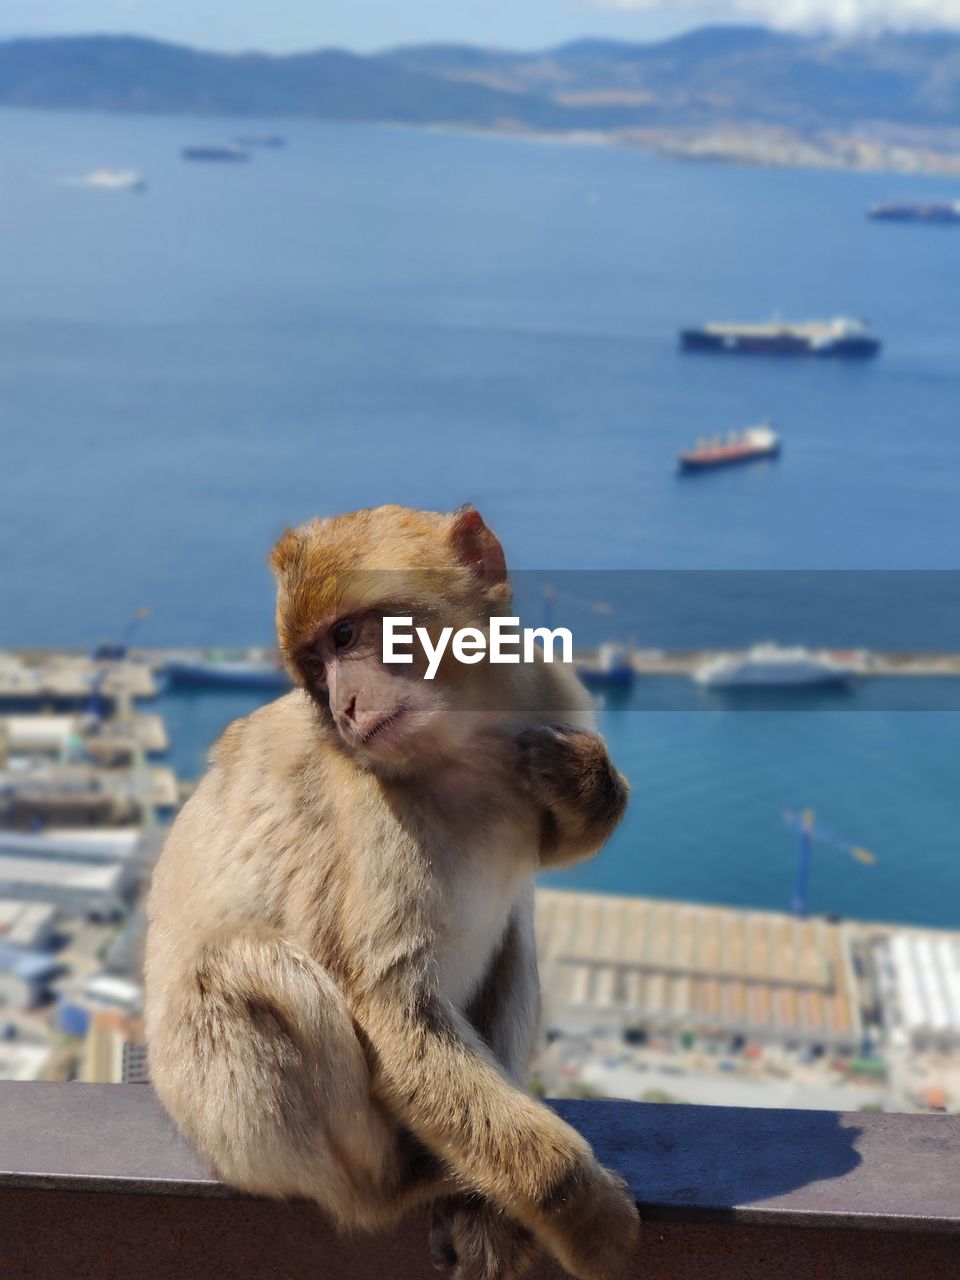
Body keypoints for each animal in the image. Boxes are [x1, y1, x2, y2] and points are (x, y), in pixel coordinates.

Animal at [144, 504, 639, 1280]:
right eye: (316, 666)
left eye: (345, 637)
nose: (344, 704)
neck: (462, 757)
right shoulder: (370, 812)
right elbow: (395, 1010)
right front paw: (583, 1213)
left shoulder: (550, 694)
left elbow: (560, 845)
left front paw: (583, 784)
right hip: (231, 1118)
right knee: (252, 976)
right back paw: (417, 1184)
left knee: (515, 935)